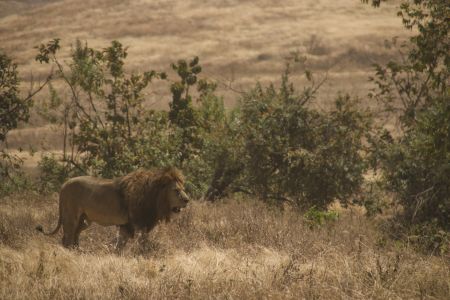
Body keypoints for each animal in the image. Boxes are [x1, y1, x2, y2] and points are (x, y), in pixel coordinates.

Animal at [35, 168, 188, 250]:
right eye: (176, 190)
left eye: (183, 189)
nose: (187, 200)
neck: (155, 197)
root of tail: (64, 184)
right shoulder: (140, 224)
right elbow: (143, 244)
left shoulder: (126, 225)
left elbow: (120, 245)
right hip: (71, 217)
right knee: (67, 238)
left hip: (84, 221)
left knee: (74, 237)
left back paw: (78, 251)